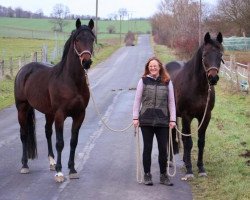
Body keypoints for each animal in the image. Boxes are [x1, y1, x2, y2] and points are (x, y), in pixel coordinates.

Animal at [14, 19, 95, 183]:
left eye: (92, 39)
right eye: (77, 40)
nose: (86, 62)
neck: (71, 81)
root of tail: (23, 70)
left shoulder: (79, 115)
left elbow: (73, 141)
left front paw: (72, 169)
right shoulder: (60, 115)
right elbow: (60, 143)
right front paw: (59, 172)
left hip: (48, 113)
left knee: (47, 132)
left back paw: (51, 162)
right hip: (22, 108)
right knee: (24, 134)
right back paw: (25, 165)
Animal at [166, 32, 223, 179]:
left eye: (220, 54)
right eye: (205, 55)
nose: (213, 78)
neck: (197, 87)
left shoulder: (205, 116)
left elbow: (200, 142)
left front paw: (201, 168)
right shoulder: (187, 116)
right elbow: (189, 143)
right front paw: (190, 170)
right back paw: (170, 160)